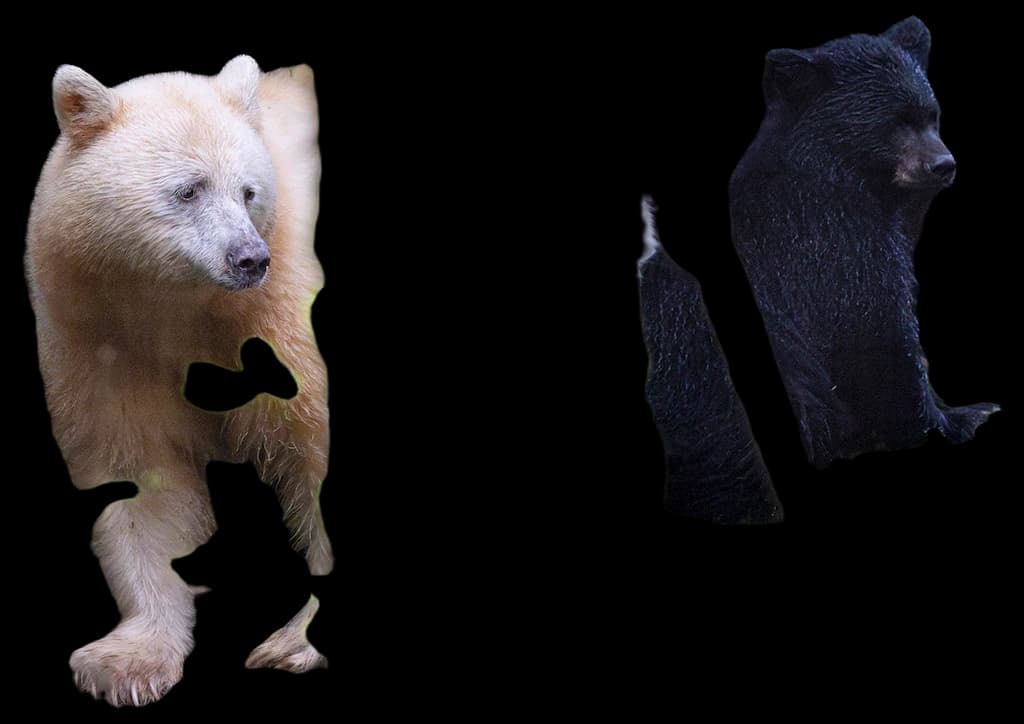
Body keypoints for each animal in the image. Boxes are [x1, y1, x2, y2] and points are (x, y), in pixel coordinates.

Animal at [25, 57, 333, 706]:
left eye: (248, 191)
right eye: (189, 189)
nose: (250, 258)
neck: (182, 306)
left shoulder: (283, 318)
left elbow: (312, 459)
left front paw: (293, 642)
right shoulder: (105, 339)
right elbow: (143, 479)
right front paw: (126, 662)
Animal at [729, 17, 999, 467]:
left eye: (931, 115)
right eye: (893, 121)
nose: (943, 165)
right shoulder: (830, 236)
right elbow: (872, 330)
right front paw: (962, 418)